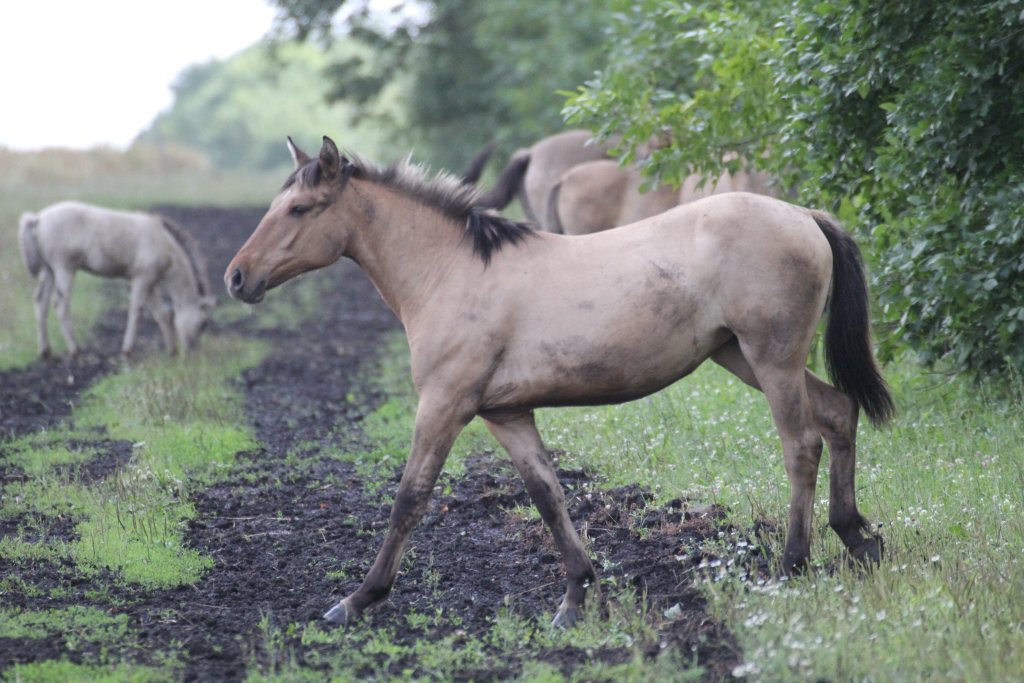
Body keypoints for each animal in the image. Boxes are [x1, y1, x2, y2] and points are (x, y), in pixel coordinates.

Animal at [17, 200, 214, 358]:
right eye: (204, 323)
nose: (192, 351)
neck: (165, 244)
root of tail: (38, 219)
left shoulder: (150, 283)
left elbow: (161, 314)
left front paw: (172, 350)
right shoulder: (141, 279)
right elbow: (136, 311)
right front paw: (127, 349)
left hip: (49, 270)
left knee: (40, 302)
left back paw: (45, 351)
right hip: (64, 268)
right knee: (60, 305)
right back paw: (75, 349)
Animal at [222, 135, 888, 630]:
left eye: (299, 210)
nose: (236, 277)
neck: (452, 271)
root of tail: (804, 215)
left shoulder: (444, 404)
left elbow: (410, 498)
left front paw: (358, 599)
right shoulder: (506, 414)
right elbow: (547, 495)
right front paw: (574, 598)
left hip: (771, 358)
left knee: (801, 446)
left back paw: (794, 565)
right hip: (741, 356)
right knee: (839, 414)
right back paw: (858, 539)